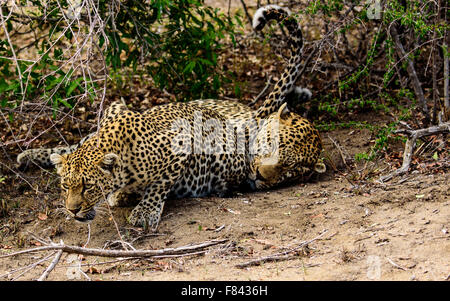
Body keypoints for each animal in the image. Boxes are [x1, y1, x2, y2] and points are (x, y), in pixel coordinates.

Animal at [16, 5, 324, 227]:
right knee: (73, 145)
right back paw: (30, 156)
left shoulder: (180, 145)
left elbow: (158, 184)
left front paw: (143, 210)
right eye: (65, 186)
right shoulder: (116, 109)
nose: (72, 210)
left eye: (88, 187)